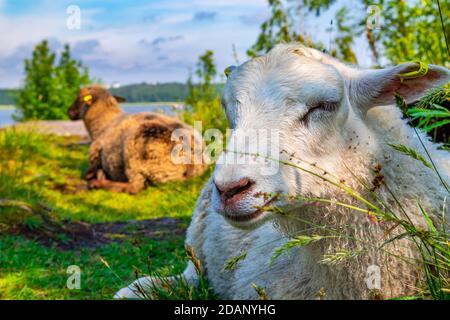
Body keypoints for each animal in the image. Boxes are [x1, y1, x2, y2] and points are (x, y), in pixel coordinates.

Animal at [67, 85, 208, 194]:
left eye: (79, 98)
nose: (69, 112)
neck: (104, 123)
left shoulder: (94, 154)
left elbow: (88, 173)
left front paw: (94, 177)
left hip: (136, 153)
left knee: (135, 187)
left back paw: (98, 183)